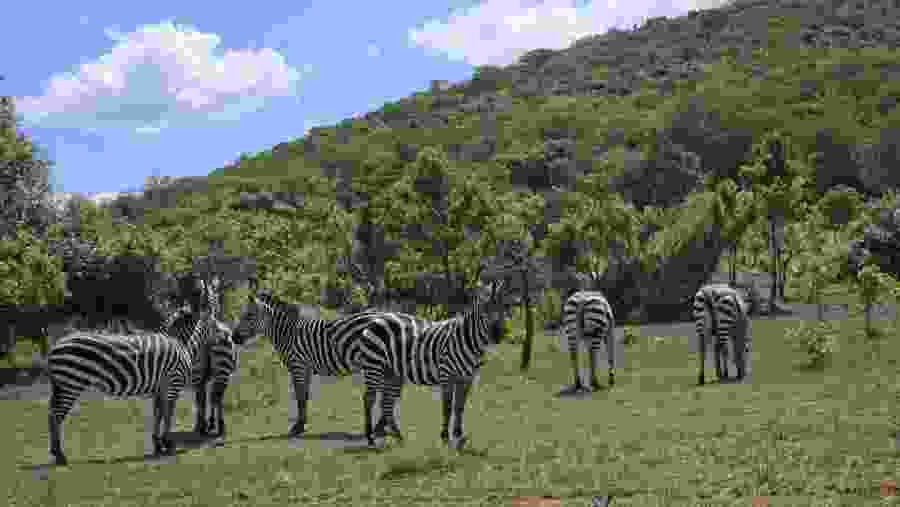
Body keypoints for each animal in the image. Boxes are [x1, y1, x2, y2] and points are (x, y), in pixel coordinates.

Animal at [46, 304, 224, 466]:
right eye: (216, 326)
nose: (228, 339)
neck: (182, 346)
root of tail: (55, 346)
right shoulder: (173, 384)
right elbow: (168, 415)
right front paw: (167, 444)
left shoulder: (160, 389)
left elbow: (158, 415)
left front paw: (158, 444)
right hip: (71, 383)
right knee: (57, 415)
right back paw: (60, 455)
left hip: (63, 385)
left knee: (52, 413)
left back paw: (56, 453)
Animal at [230, 283, 398, 438]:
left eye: (249, 315)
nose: (234, 338)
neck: (288, 333)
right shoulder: (306, 369)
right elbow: (304, 395)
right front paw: (301, 424)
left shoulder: (298, 366)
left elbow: (300, 396)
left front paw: (298, 427)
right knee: (390, 392)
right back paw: (381, 427)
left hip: (377, 361)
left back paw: (380, 428)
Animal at [346, 280, 512, 448]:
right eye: (484, 310)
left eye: (504, 307)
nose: (499, 335)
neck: (468, 340)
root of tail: (376, 319)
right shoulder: (447, 375)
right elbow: (447, 407)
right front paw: (445, 436)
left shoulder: (467, 379)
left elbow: (459, 407)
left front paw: (459, 435)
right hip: (374, 365)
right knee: (369, 399)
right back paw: (370, 437)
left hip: (390, 371)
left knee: (386, 402)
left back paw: (396, 435)